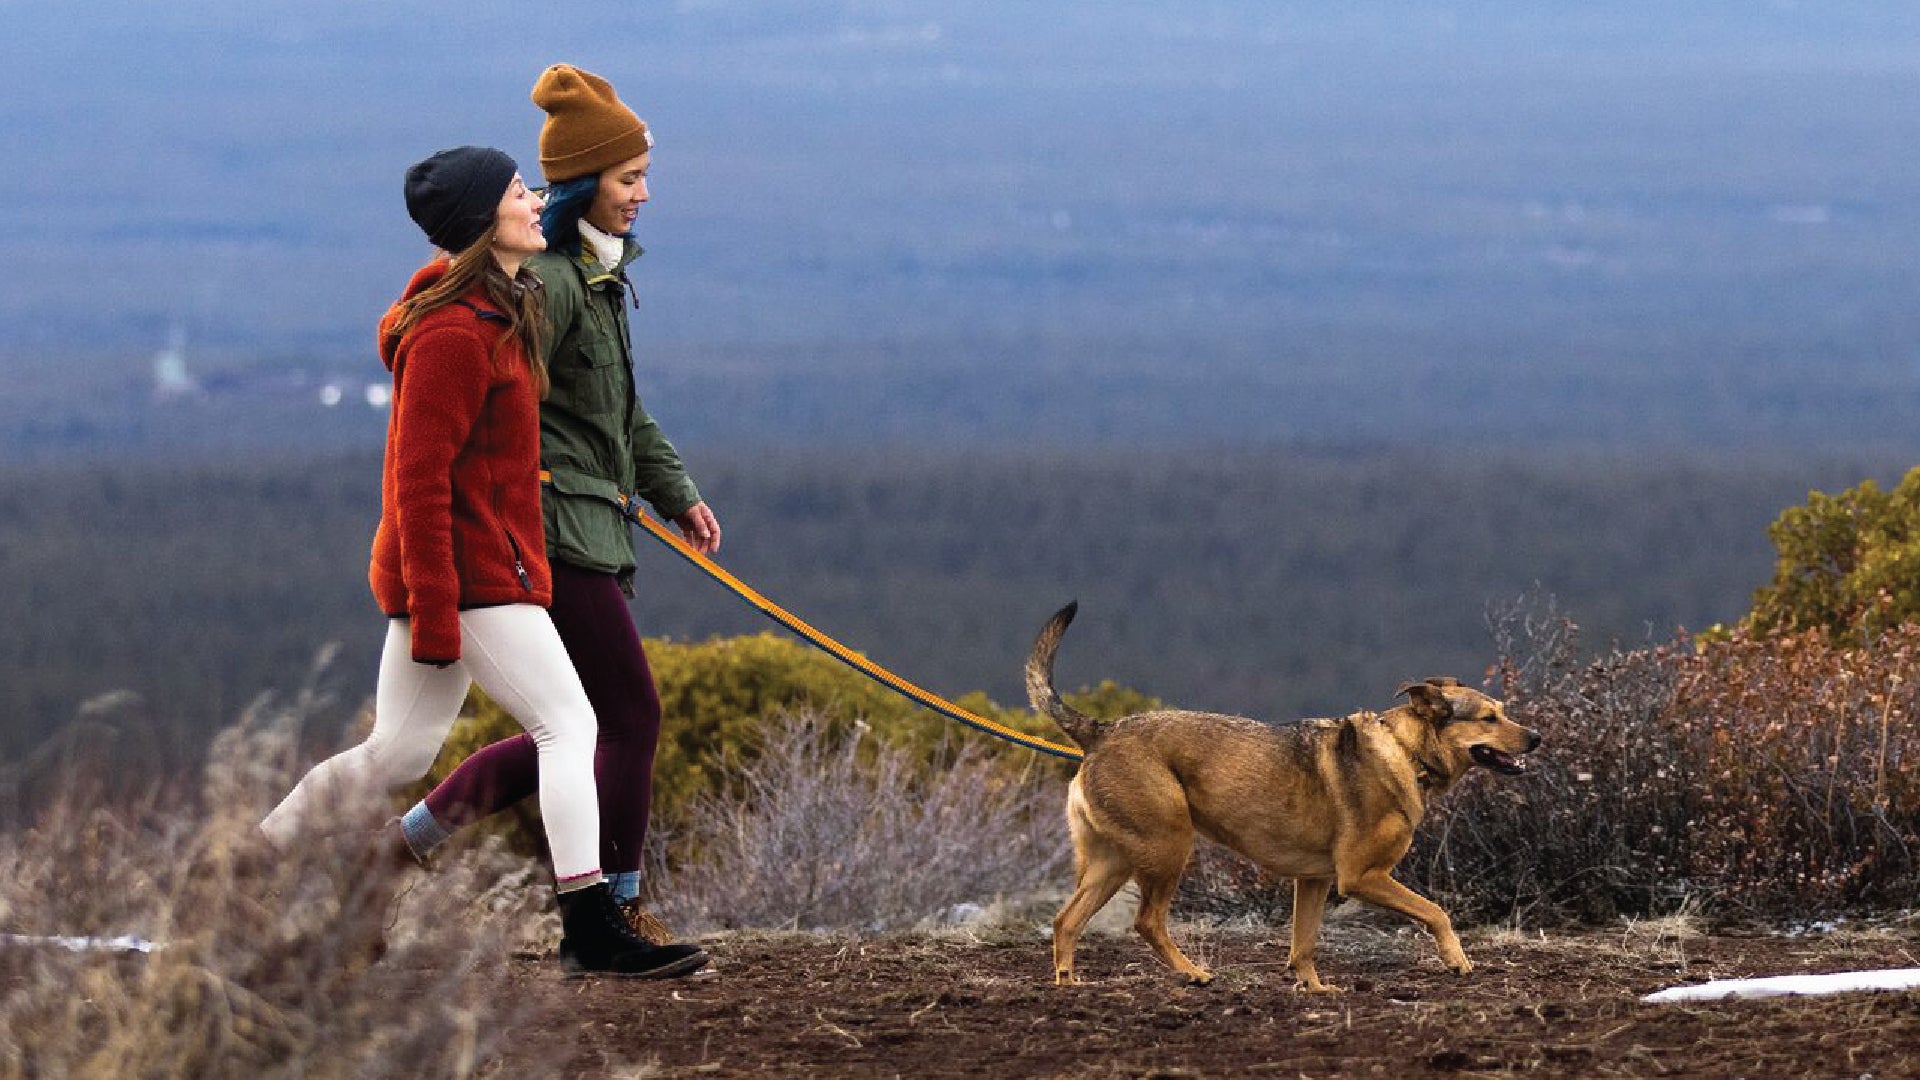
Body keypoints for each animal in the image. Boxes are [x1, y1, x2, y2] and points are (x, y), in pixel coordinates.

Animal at [1021, 599, 1543, 991]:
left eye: (1503, 711)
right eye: (1489, 718)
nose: (1537, 737)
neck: (1406, 752)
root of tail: (1101, 731)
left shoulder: (1313, 881)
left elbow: (1303, 943)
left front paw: (1313, 988)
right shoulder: (1361, 877)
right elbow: (1437, 912)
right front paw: (1457, 961)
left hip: (1111, 863)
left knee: (1067, 921)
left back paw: (1069, 985)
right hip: (1169, 848)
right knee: (1147, 921)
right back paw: (1194, 974)